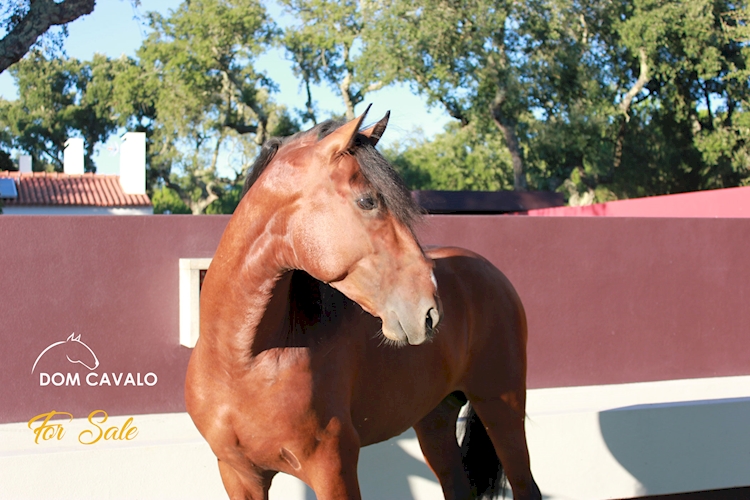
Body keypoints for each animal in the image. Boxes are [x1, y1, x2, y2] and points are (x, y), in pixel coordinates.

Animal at [186, 106, 544, 500]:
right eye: (368, 201)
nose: (428, 311)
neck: (242, 362)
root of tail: (491, 272)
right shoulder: (239, 475)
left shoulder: (334, 469)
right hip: (435, 419)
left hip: (501, 407)